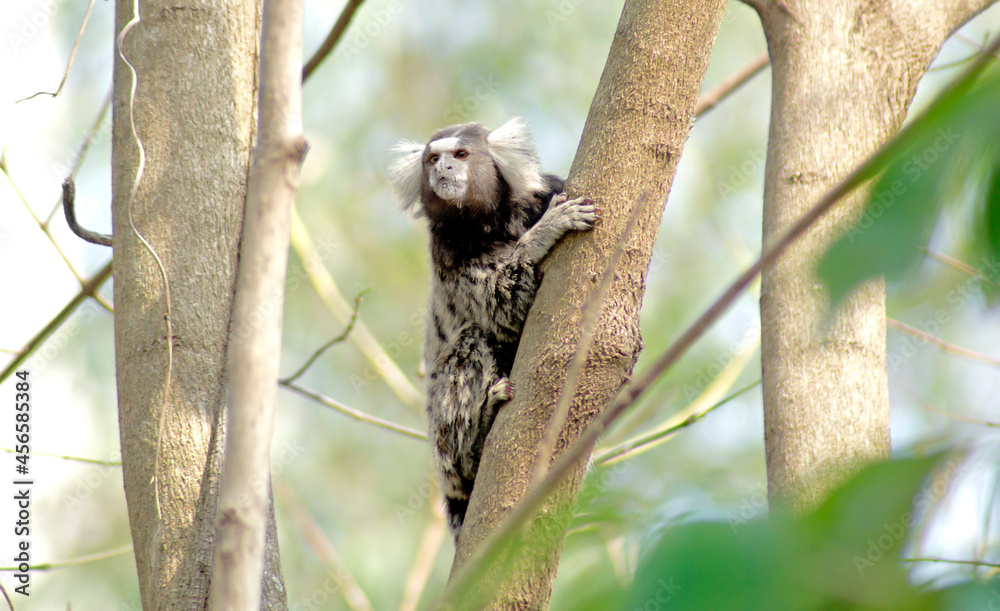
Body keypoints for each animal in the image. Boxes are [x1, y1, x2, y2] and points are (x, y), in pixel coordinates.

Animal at [388, 117, 599, 539]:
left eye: (460, 154)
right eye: (432, 158)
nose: (442, 170)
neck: (491, 224)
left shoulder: (545, 190)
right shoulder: (448, 254)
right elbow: (501, 309)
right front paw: (541, 236)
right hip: (444, 444)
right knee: (471, 341)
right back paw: (480, 435)